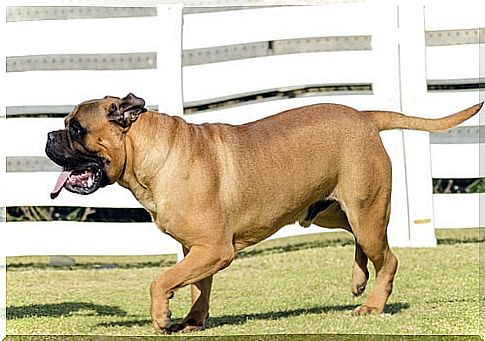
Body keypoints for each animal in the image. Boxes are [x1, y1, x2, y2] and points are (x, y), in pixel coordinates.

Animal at [44, 93, 480, 332]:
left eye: (77, 128)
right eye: (65, 125)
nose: (48, 135)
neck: (151, 154)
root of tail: (364, 117)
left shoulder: (214, 249)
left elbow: (161, 281)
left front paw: (162, 317)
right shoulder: (196, 251)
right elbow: (198, 287)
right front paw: (192, 321)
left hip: (366, 209)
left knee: (387, 258)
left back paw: (372, 305)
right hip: (330, 209)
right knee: (361, 241)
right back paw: (358, 280)